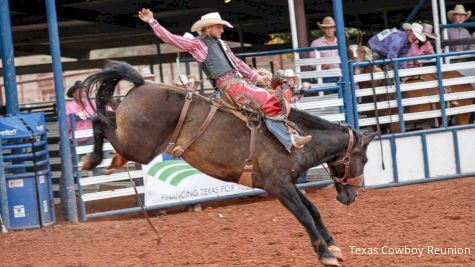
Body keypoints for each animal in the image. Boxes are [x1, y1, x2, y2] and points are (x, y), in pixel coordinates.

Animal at [82, 61, 380, 267]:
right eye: (364, 159)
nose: (352, 195)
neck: (297, 140)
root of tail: (142, 84)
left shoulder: (289, 183)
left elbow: (313, 210)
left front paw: (334, 246)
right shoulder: (279, 187)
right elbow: (304, 216)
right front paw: (326, 254)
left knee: (104, 121)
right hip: (140, 147)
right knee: (98, 121)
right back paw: (92, 160)